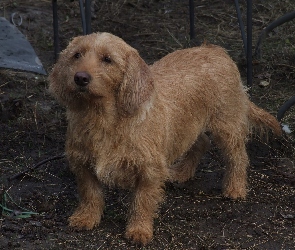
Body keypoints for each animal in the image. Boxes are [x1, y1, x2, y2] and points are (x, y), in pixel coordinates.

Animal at [48, 32, 282, 245]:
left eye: (108, 59)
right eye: (77, 55)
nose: (80, 78)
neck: (102, 117)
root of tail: (215, 50)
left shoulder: (149, 170)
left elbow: (142, 201)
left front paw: (139, 230)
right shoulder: (83, 164)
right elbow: (90, 193)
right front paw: (86, 217)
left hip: (226, 126)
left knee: (238, 157)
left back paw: (235, 188)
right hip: (189, 125)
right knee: (201, 143)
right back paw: (182, 172)